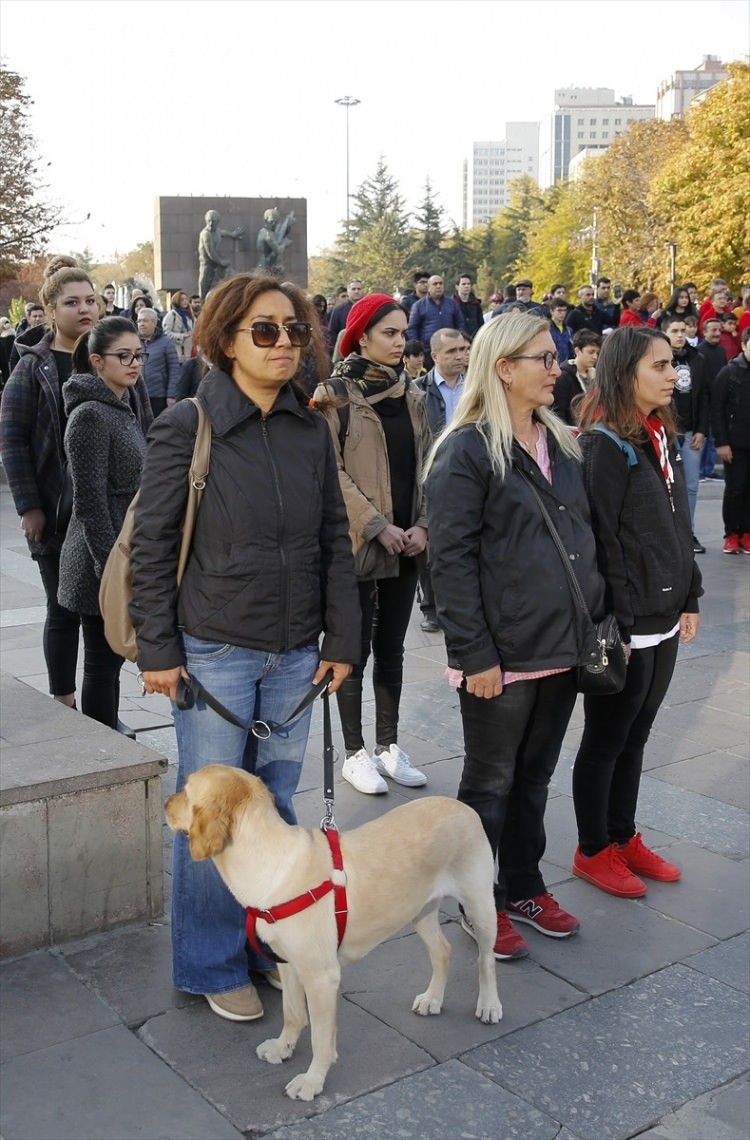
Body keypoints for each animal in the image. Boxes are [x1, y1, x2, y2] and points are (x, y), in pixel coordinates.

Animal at [165, 761, 501, 1098]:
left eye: (186, 790)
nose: (165, 804)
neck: (269, 865)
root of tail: (462, 806)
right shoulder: (287, 962)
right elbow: (292, 1013)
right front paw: (282, 1048)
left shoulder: (322, 977)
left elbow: (321, 1039)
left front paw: (312, 1081)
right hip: (420, 910)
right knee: (443, 951)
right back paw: (433, 999)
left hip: (480, 905)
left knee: (485, 959)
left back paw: (489, 1005)